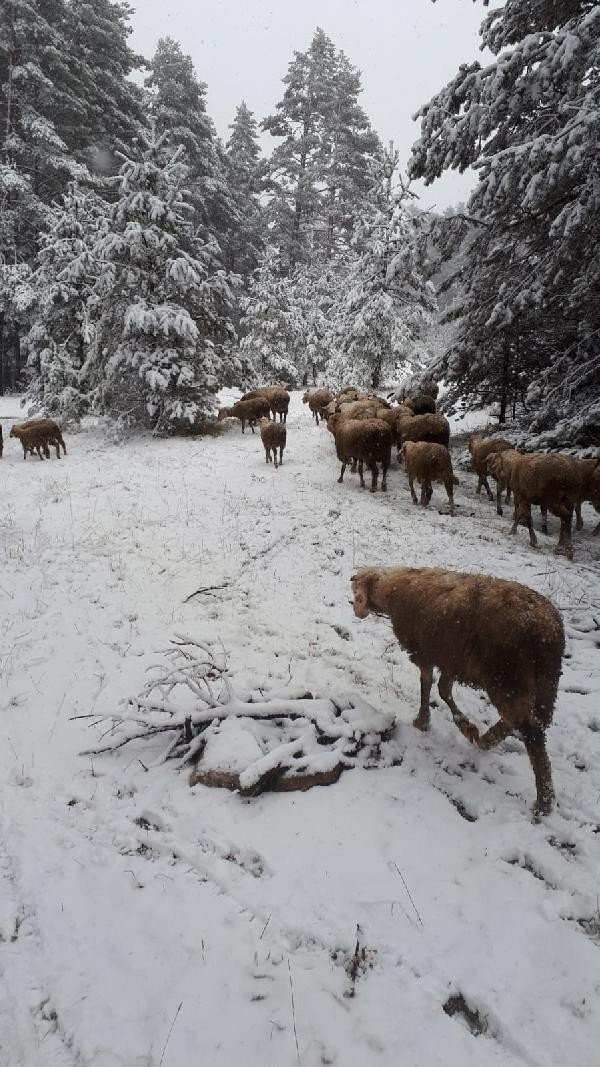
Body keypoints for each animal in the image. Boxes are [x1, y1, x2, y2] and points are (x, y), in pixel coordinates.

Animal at [348, 571, 563, 810]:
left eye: (357, 594)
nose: (357, 611)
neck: (393, 589)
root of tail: (550, 630)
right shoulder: (450, 658)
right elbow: (443, 689)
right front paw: (466, 726)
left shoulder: (425, 653)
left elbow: (427, 684)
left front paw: (423, 721)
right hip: (545, 683)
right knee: (526, 721)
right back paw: (488, 739)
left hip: (507, 678)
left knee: (530, 732)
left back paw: (543, 802)